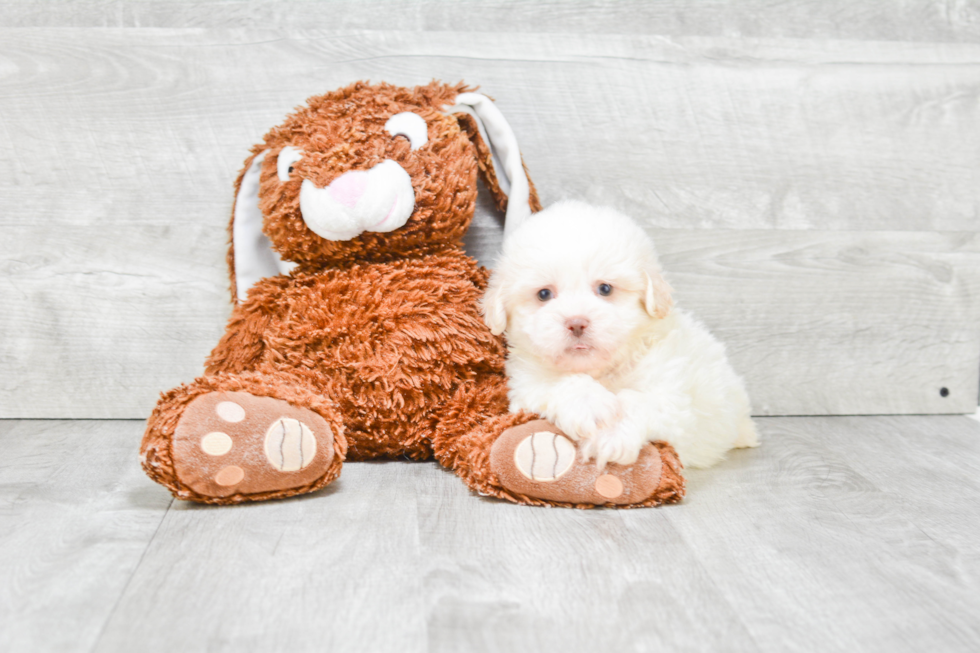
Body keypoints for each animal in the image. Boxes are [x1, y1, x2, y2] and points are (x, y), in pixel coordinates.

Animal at [482, 200, 756, 468]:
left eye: (605, 289)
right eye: (544, 294)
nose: (576, 323)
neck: (603, 370)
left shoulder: (672, 398)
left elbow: (638, 400)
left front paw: (612, 434)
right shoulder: (526, 388)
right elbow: (559, 383)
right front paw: (590, 405)